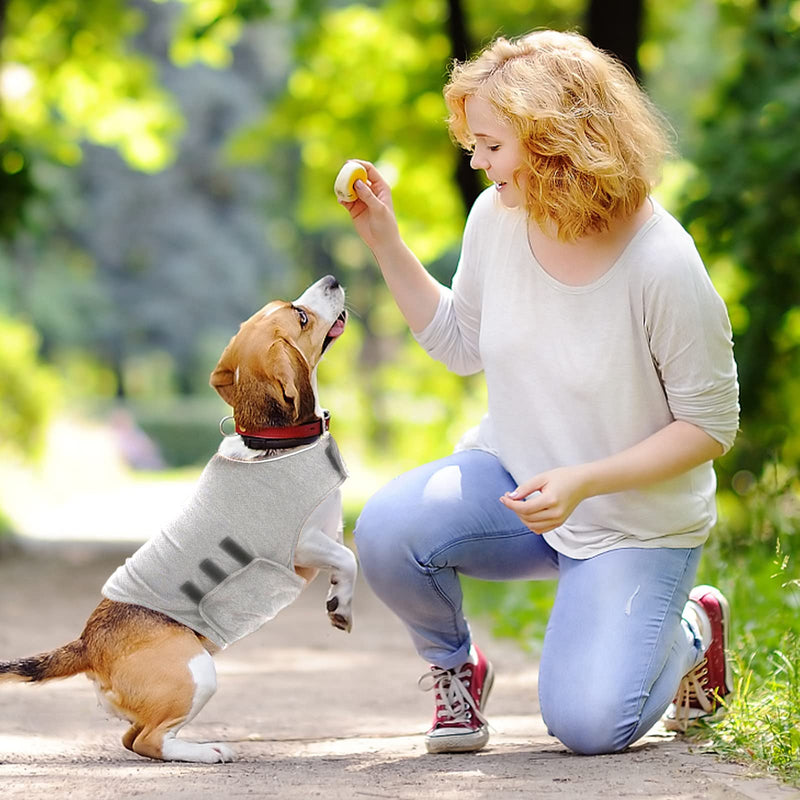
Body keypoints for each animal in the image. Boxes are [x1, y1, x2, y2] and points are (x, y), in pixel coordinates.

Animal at [0, 276, 356, 764]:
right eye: (300, 316)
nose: (332, 281)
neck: (272, 440)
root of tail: (88, 643)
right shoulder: (300, 546)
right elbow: (349, 559)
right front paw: (342, 606)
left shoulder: (327, 536)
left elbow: (347, 560)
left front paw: (340, 601)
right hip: (198, 673)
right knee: (149, 740)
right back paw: (209, 751)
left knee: (133, 740)